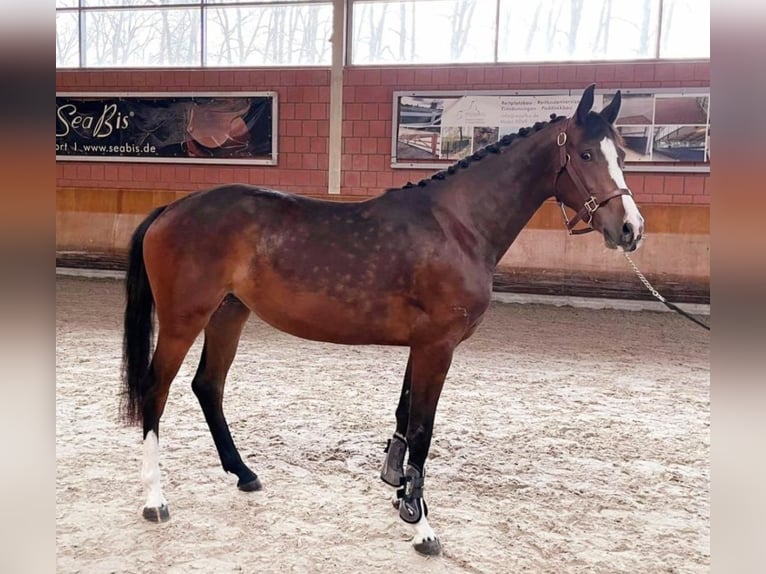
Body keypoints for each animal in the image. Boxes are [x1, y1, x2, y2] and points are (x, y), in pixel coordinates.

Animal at [123, 85, 644, 560]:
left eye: (621, 154)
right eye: (585, 154)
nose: (631, 229)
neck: (458, 225)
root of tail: (171, 209)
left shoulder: (423, 345)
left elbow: (404, 416)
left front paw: (401, 494)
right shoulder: (438, 346)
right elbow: (422, 431)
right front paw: (422, 526)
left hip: (229, 313)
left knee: (208, 386)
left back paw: (244, 473)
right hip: (183, 320)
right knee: (156, 389)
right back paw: (154, 497)